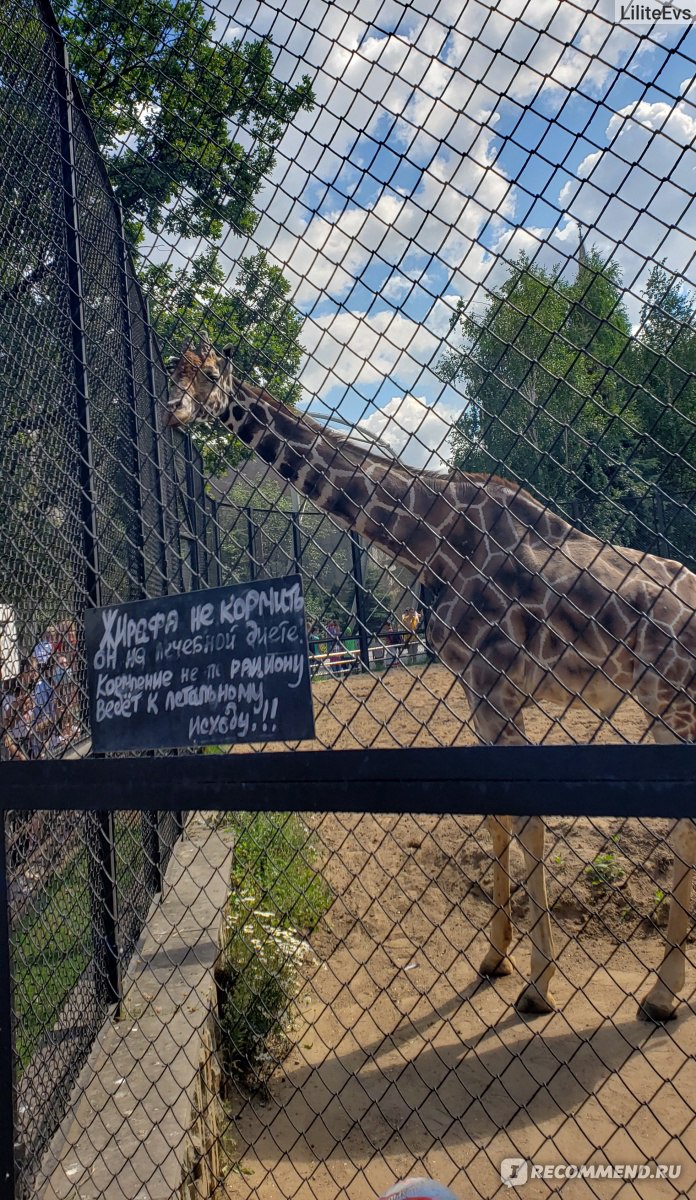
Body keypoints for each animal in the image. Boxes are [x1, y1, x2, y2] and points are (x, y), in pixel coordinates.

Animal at [168, 336, 696, 1022]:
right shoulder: (480, 692)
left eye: (210, 374)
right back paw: (663, 989)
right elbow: (497, 816)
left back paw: (662, 994)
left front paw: (538, 987)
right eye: (172, 370)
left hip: (673, 702)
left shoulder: (494, 687)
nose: (175, 412)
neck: (430, 537)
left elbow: (528, 819)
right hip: (665, 708)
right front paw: (495, 959)